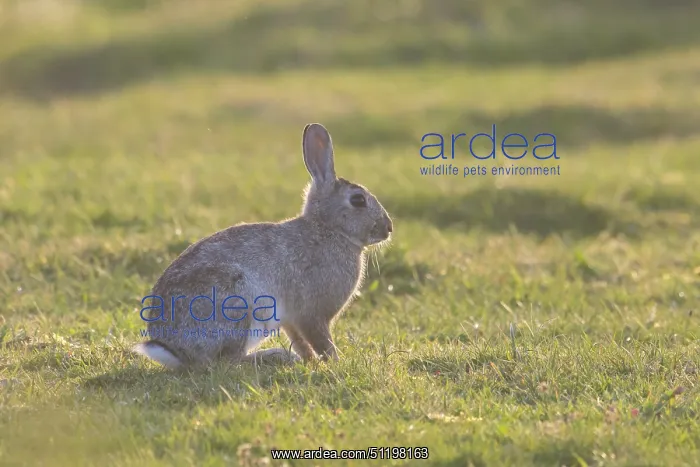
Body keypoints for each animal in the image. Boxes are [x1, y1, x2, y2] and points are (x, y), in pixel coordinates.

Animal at [133, 123, 393, 369]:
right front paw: (336, 363)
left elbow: (300, 341)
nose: (388, 228)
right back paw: (274, 356)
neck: (328, 228)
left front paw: (310, 361)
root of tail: (175, 351)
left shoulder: (290, 319)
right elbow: (321, 341)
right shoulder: (312, 313)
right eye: (358, 200)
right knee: (227, 361)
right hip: (237, 304)